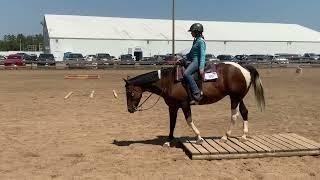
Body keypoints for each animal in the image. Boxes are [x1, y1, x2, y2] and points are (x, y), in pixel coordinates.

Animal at [122, 62, 264, 147]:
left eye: (130, 93)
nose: (130, 109)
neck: (168, 81)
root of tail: (243, 68)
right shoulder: (172, 106)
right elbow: (172, 123)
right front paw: (168, 141)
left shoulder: (184, 104)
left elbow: (189, 120)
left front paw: (199, 137)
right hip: (239, 98)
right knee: (244, 112)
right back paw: (243, 136)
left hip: (234, 98)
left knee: (234, 115)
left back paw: (225, 136)